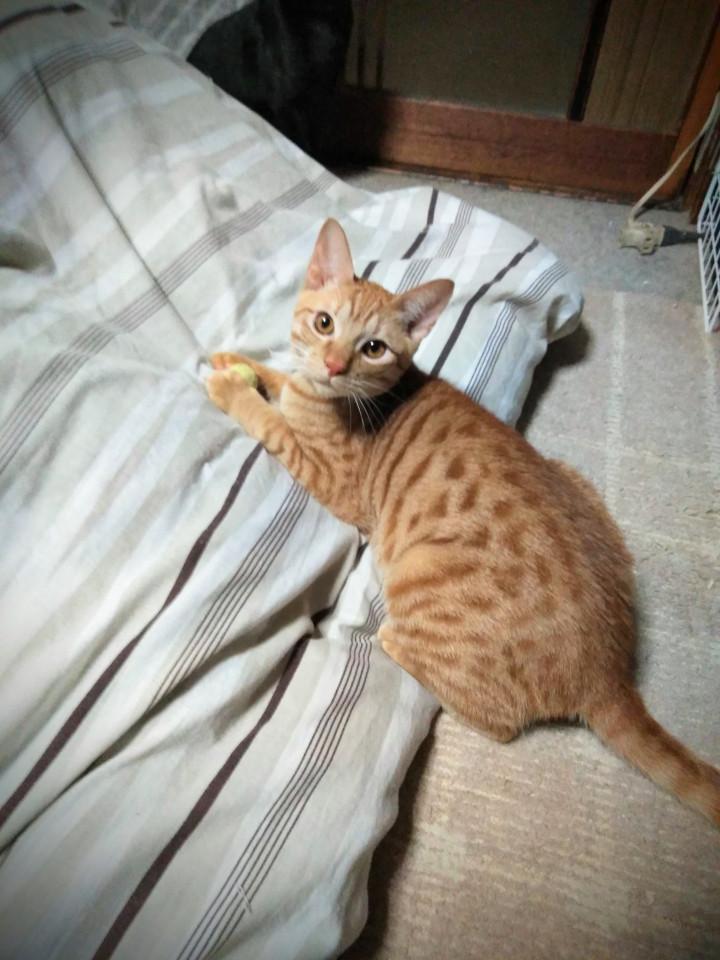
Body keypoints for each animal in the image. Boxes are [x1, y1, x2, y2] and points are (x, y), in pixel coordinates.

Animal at [207, 218, 720, 828]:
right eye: (324, 322)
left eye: (373, 348)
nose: (333, 367)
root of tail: (611, 673)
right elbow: (279, 381)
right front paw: (235, 362)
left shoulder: (331, 479)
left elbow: (270, 420)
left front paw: (233, 389)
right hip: (573, 479)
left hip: (417, 572)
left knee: (495, 719)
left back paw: (389, 640)